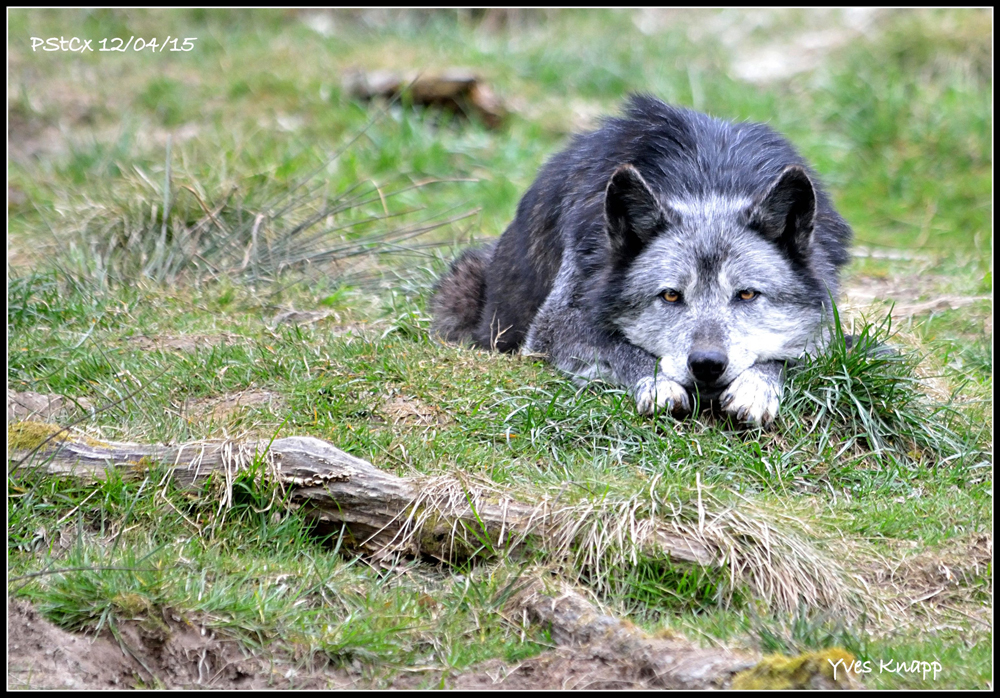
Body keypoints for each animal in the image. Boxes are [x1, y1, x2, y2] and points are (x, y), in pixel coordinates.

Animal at [430, 95, 852, 426]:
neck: (708, 179)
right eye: (670, 296)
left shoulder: (831, 327)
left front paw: (756, 387)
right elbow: (618, 345)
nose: (707, 364)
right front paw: (659, 382)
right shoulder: (552, 326)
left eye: (747, 295)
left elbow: (792, 355)